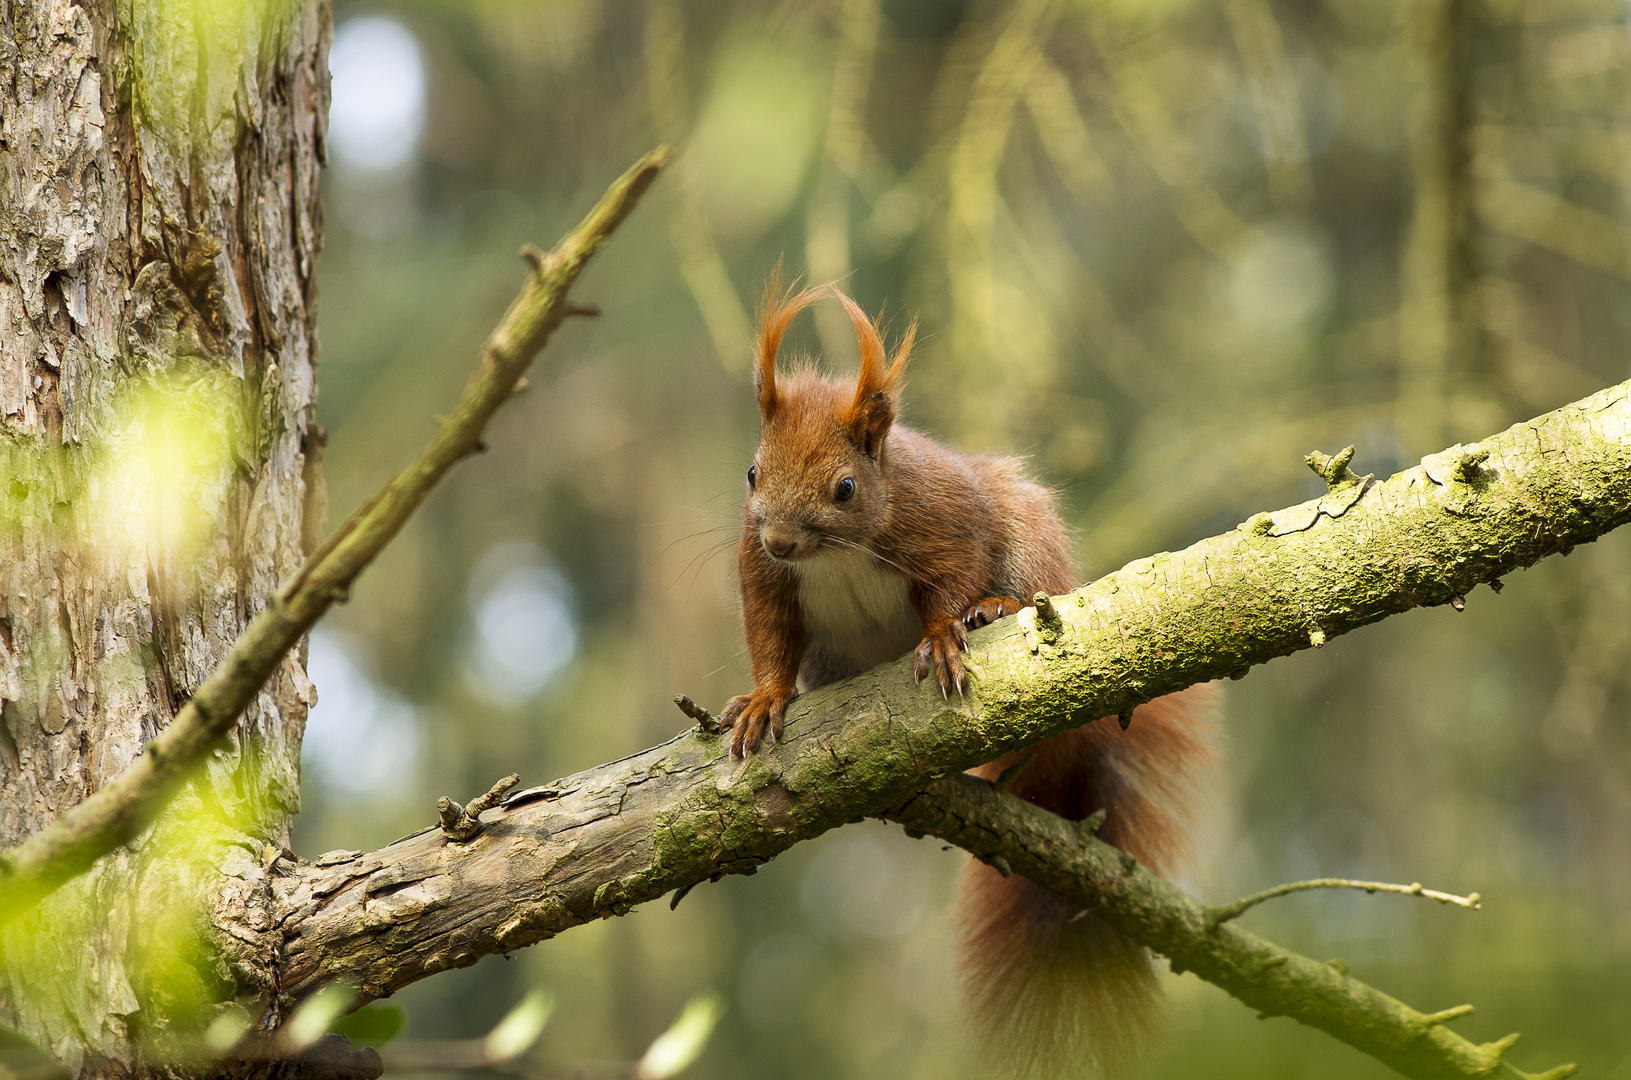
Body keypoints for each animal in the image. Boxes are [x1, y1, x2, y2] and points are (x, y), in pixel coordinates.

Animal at [724, 280, 1213, 1080]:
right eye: (751, 473)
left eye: (845, 488)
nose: (781, 539)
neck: (839, 551)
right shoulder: (758, 569)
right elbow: (769, 635)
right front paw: (765, 697)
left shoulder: (946, 519)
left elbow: (950, 580)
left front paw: (944, 638)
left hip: (1027, 533)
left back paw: (995, 611)